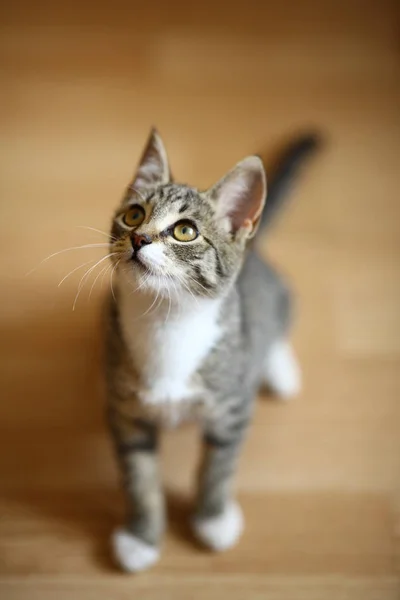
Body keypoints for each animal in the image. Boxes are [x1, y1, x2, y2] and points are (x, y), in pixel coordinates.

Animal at [104, 130, 318, 572]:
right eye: (133, 215)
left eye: (185, 231)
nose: (138, 237)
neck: (166, 321)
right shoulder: (126, 412)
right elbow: (138, 476)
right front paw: (140, 538)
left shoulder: (231, 406)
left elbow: (218, 466)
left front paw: (213, 519)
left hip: (275, 299)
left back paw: (280, 369)